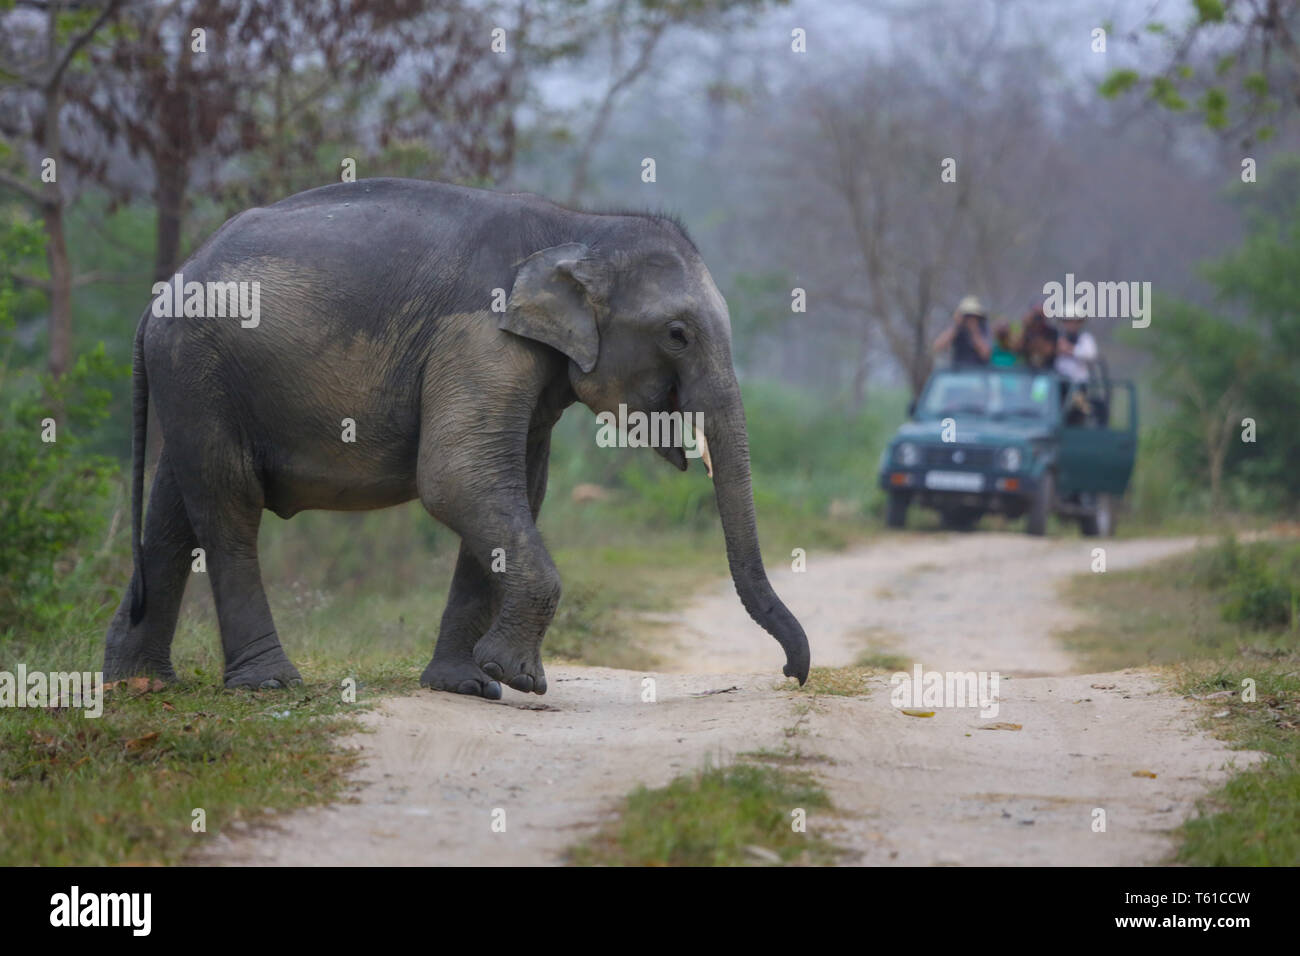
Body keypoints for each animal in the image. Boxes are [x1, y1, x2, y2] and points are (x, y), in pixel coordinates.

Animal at [101, 179, 806, 697]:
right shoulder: (479, 335)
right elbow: (458, 478)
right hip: (200, 364)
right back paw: (267, 685)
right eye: (678, 335)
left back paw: (139, 684)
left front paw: (468, 684)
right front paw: (519, 680)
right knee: (228, 502)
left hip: (193, 380)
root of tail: (157, 298)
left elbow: (515, 488)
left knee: (174, 507)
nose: (790, 675)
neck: (577, 227)